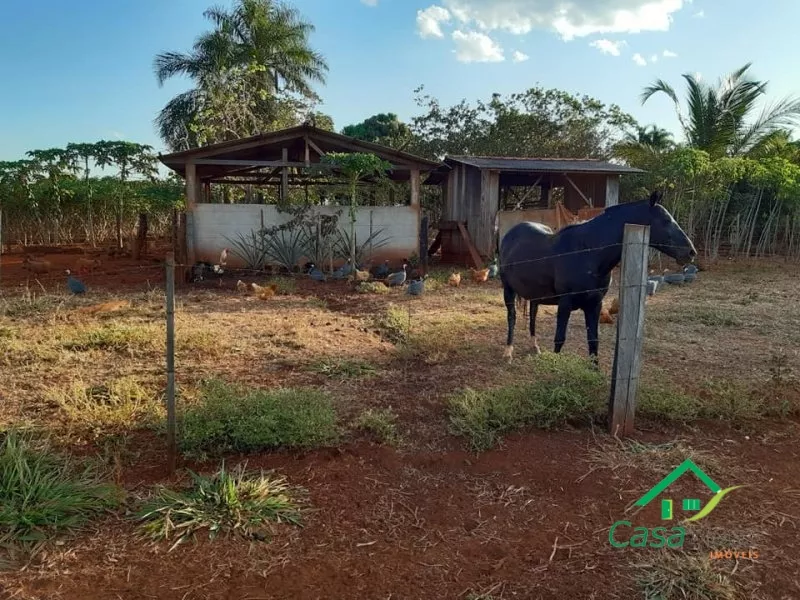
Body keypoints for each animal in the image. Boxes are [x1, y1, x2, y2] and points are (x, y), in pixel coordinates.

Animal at [499, 190, 696, 362]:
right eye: (665, 221)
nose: (691, 252)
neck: (588, 253)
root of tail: (511, 234)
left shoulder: (594, 304)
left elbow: (593, 341)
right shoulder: (565, 303)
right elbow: (560, 339)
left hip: (535, 295)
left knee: (532, 314)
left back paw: (535, 346)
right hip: (508, 290)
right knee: (512, 317)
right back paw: (508, 352)